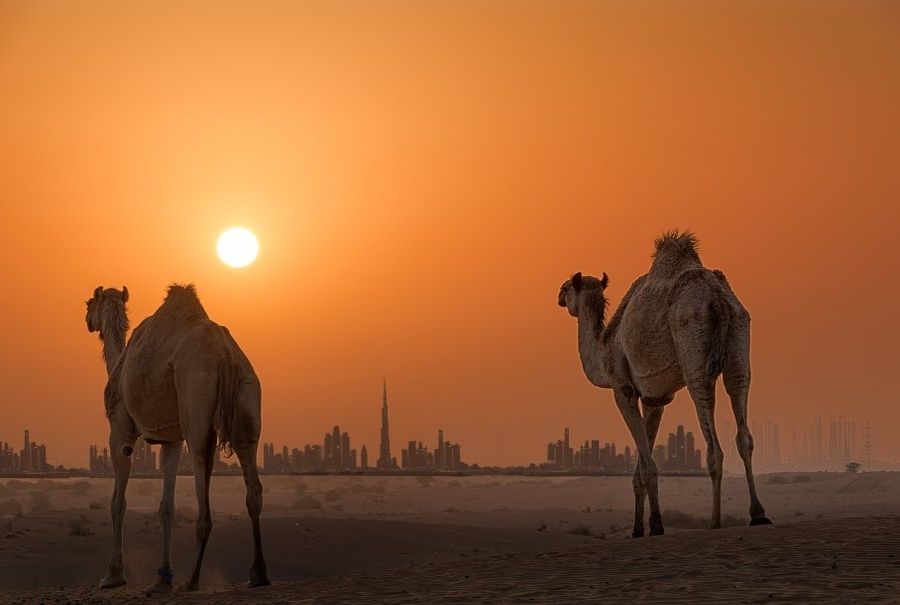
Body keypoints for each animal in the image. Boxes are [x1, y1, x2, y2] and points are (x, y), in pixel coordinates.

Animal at [85, 284, 269, 592]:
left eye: (90, 303)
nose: (88, 320)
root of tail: (226, 357)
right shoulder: (171, 440)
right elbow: (166, 508)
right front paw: (162, 578)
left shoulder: (120, 431)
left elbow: (117, 503)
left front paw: (112, 576)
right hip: (248, 401)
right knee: (253, 485)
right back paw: (257, 575)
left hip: (196, 404)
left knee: (203, 494)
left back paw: (192, 580)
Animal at [557, 231, 771, 537]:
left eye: (566, 287)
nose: (558, 296)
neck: (604, 348)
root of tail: (717, 297)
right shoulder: (655, 399)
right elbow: (641, 467)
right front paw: (638, 528)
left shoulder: (622, 389)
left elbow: (648, 464)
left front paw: (656, 525)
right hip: (739, 339)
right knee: (742, 421)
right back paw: (758, 514)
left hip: (693, 342)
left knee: (712, 437)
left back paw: (714, 522)